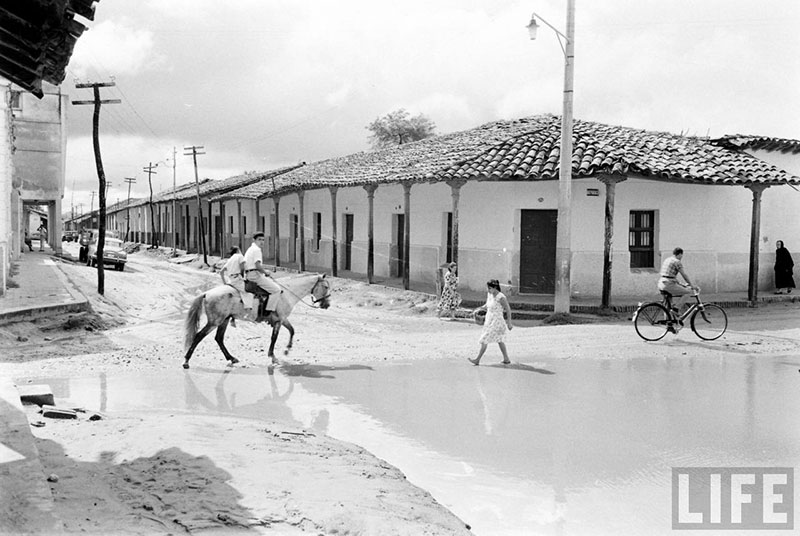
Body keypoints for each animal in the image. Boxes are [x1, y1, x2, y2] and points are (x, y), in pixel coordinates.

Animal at [183, 272, 330, 368]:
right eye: (326, 287)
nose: (327, 304)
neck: (287, 291)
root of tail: (206, 293)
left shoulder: (283, 319)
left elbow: (292, 330)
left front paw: (287, 349)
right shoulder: (280, 320)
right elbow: (274, 338)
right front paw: (273, 356)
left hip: (224, 320)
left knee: (219, 338)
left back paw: (231, 358)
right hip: (214, 322)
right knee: (199, 336)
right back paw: (186, 361)